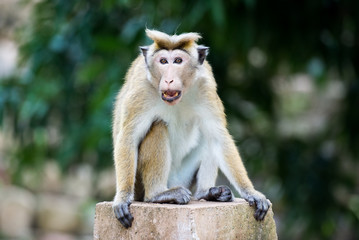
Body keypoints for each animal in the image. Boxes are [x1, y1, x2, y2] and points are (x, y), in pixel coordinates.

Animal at [112, 29, 270, 229]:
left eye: (178, 60)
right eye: (163, 61)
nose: (169, 79)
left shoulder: (206, 87)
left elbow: (218, 137)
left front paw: (251, 192)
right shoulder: (141, 91)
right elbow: (128, 138)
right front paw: (122, 198)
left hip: (185, 178)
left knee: (208, 136)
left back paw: (206, 193)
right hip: (141, 184)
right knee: (158, 125)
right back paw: (158, 194)